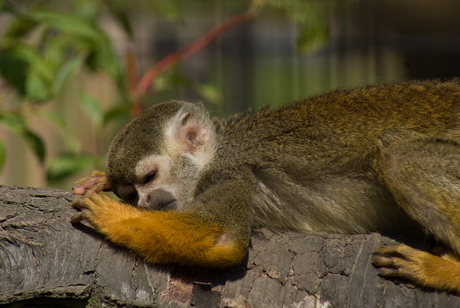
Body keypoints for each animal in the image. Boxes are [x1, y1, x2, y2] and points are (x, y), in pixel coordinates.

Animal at [73, 80, 460, 294]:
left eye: (149, 178)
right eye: (131, 193)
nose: (146, 202)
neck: (216, 153)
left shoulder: (230, 173)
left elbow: (222, 237)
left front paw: (111, 217)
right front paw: (102, 183)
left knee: (400, 159)